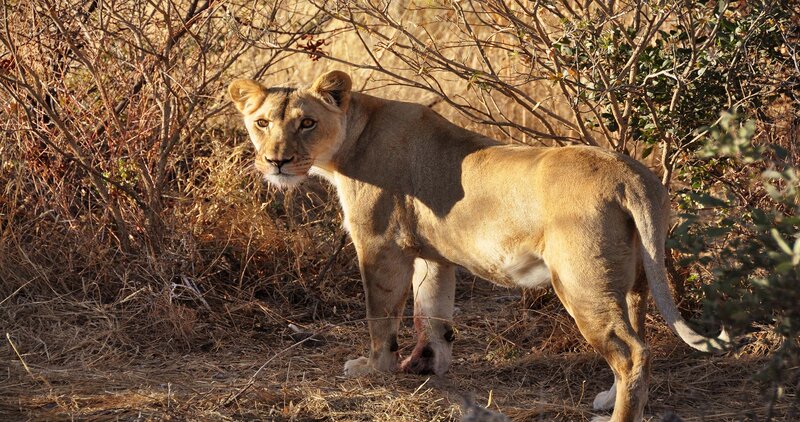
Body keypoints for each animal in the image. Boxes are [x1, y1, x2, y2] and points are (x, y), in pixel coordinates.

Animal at [228, 71, 730, 422]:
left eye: (307, 123)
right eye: (261, 123)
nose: (276, 161)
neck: (351, 135)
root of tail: (629, 173)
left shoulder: (380, 245)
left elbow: (380, 316)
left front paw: (373, 369)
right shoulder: (432, 255)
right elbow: (432, 313)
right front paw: (427, 364)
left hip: (580, 281)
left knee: (631, 352)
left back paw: (620, 414)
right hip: (635, 277)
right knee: (639, 336)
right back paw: (609, 398)